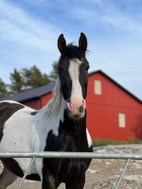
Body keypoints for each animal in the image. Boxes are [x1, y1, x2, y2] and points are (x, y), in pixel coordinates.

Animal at [0, 33, 92, 188]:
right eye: (60, 68)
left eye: (86, 67)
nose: (76, 107)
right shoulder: (49, 178)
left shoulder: (78, 179)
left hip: (10, 169)